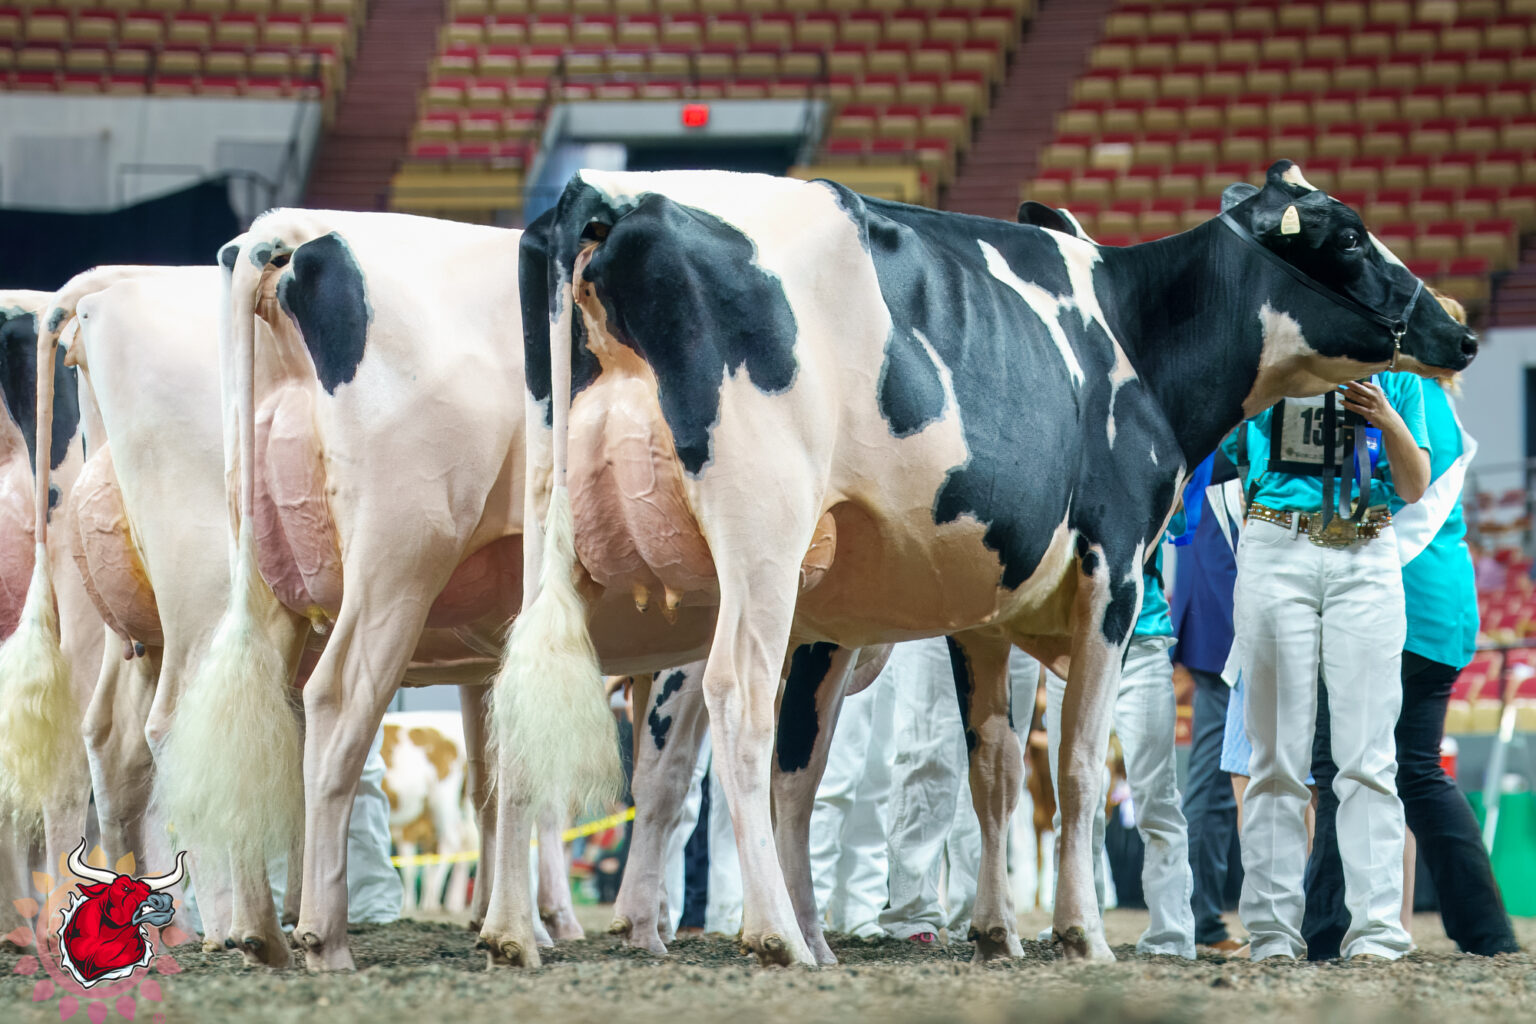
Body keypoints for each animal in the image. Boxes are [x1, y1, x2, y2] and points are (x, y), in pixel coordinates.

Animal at [481, 160, 1477, 967]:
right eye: (1348, 234)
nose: (1458, 332)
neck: (1135, 334)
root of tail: (613, 197)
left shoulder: (984, 608)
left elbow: (992, 769)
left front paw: (1000, 930)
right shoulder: (1113, 568)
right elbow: (1078, 764)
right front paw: (1079, 933)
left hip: (556, 531)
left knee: (529, 692)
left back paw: (515, 932)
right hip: (760, 535)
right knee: (736, 702)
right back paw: (773, 934)